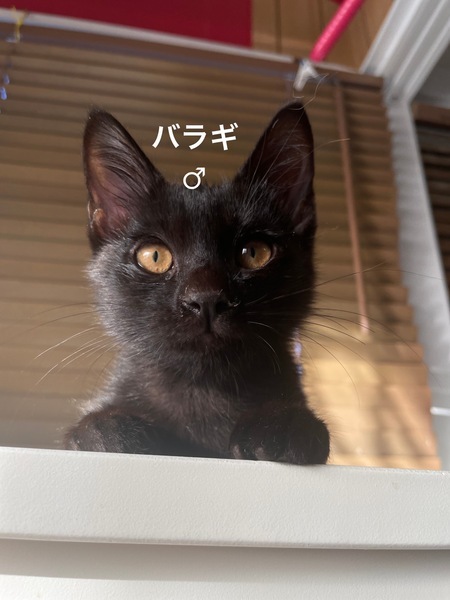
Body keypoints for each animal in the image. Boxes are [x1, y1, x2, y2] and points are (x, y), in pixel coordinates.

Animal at [64, 101, 330, 465]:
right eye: (154, 256)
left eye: (254, 252)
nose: (205, 298)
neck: (203, 393)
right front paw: (105, 428)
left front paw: (284, 424)